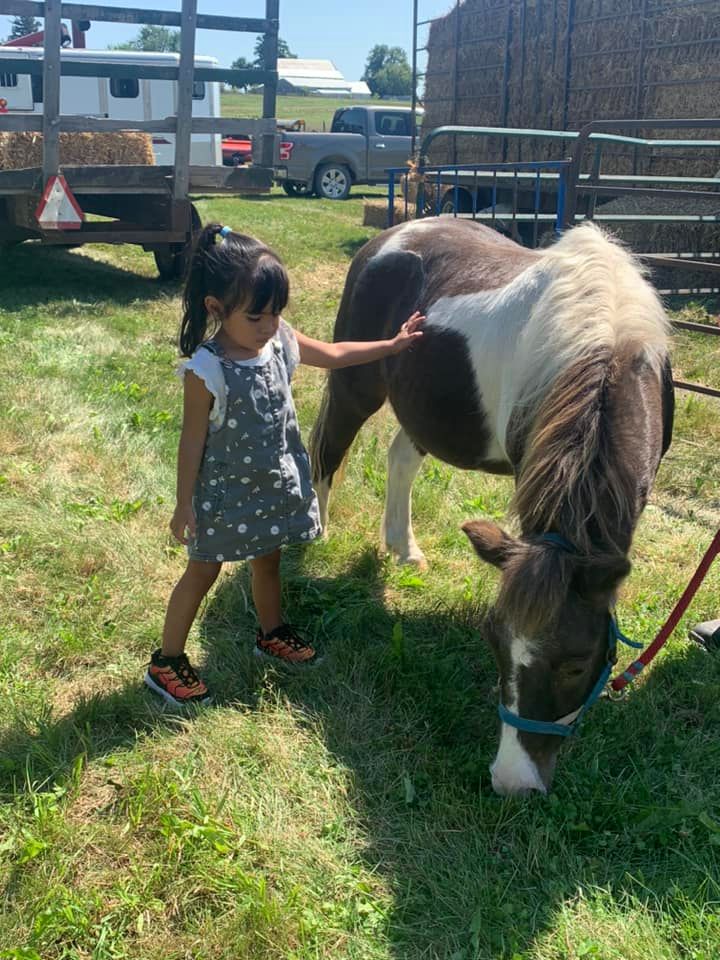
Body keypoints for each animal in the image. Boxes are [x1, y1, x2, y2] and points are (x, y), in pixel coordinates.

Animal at [310, 221, 676, 800]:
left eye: (576, 665)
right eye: (494, 643)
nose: (513, 782)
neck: (608, 342)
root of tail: (390, 236)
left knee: (399, 459)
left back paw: (403, 548)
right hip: (354, 384)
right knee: (327, 450)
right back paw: (318, 533)